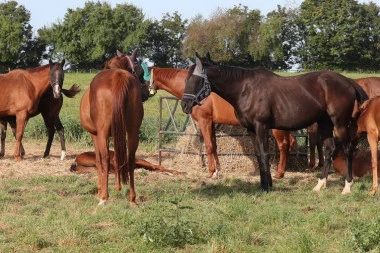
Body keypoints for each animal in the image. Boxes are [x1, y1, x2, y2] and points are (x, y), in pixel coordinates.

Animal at [80, 50, 150, 207]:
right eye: (141, 71)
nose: (147, 93)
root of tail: (118, 76)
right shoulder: (118, 134)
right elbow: (118, 158)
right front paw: (118, 187)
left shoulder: (96, 135)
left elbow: (99, 161)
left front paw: (101, 189)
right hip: (132, 132)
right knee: (130, 158)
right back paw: (132, 198)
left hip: (102, 134)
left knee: (105, 158)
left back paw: (104, 197)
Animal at [150, 66, 296, 179]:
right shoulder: (212, 123)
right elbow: (214, 145)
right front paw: (218, 170)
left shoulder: (204, 121)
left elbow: (208, 146)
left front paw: (210, 172)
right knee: (291, 141)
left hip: (277, 128)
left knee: (283, 145)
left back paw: (279, 173)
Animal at [182, 52, 368, 193]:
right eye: (186, 79)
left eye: (195, 80)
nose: (185, 105)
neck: (245, 89)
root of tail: (348, 82)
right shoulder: (251, 129)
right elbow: (258, 155)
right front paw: (264, 184)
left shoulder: (262, 126)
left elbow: (265, 154)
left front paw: (267, 186)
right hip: (325, 123)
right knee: (330, 149)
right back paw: (320, 185)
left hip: (340, 123)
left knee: (348, 149)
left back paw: (347, 186)